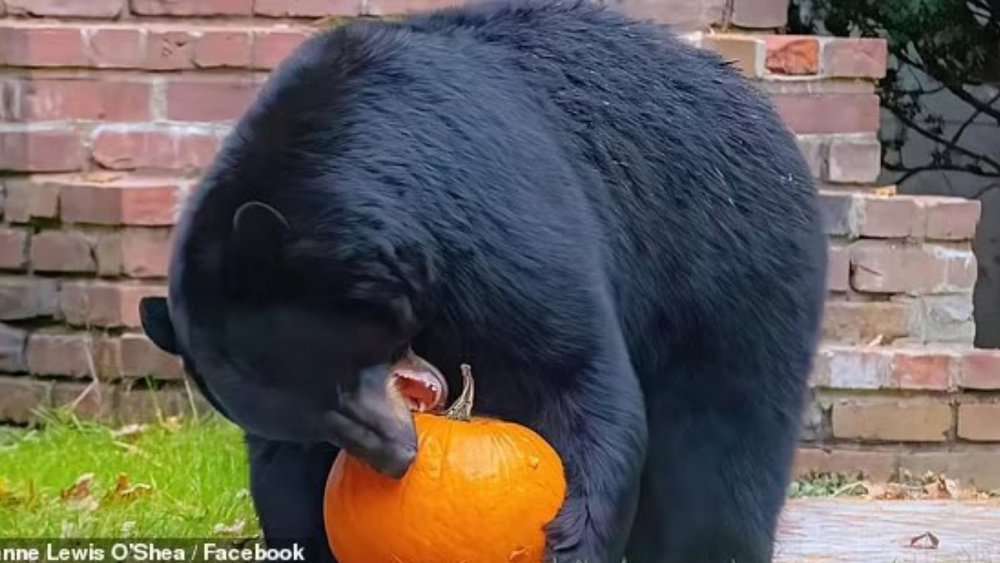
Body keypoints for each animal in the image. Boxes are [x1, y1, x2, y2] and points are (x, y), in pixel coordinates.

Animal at [138, 1, 829, 561]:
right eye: (322, 419)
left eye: (341, 376)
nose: (400, 456)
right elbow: (283, 475)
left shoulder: (489, 211)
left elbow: (572, 368)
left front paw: (571, 537)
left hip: (729, 264)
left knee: (718, 455)